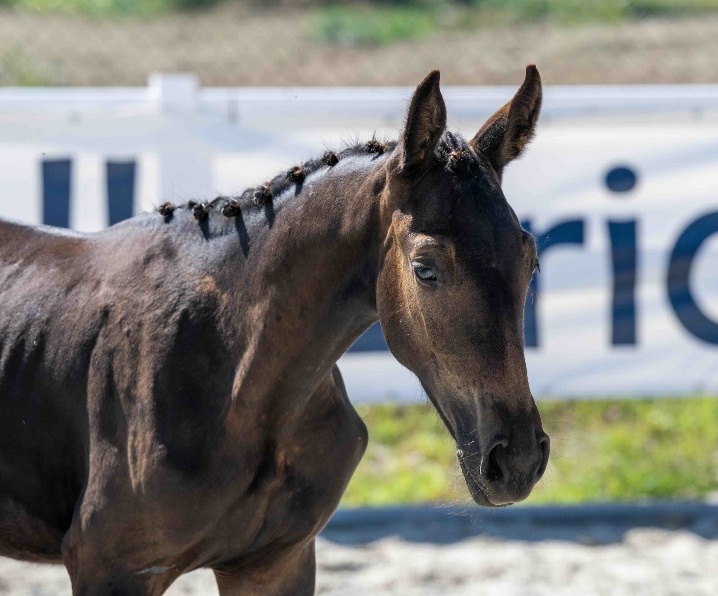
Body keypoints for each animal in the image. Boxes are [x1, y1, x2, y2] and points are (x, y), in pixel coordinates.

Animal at [0, 66, 549, 595]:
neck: (235, 382)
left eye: (531, 260)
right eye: (425, 269)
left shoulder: (274, 563)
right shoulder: (114, 568)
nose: (517, 460)